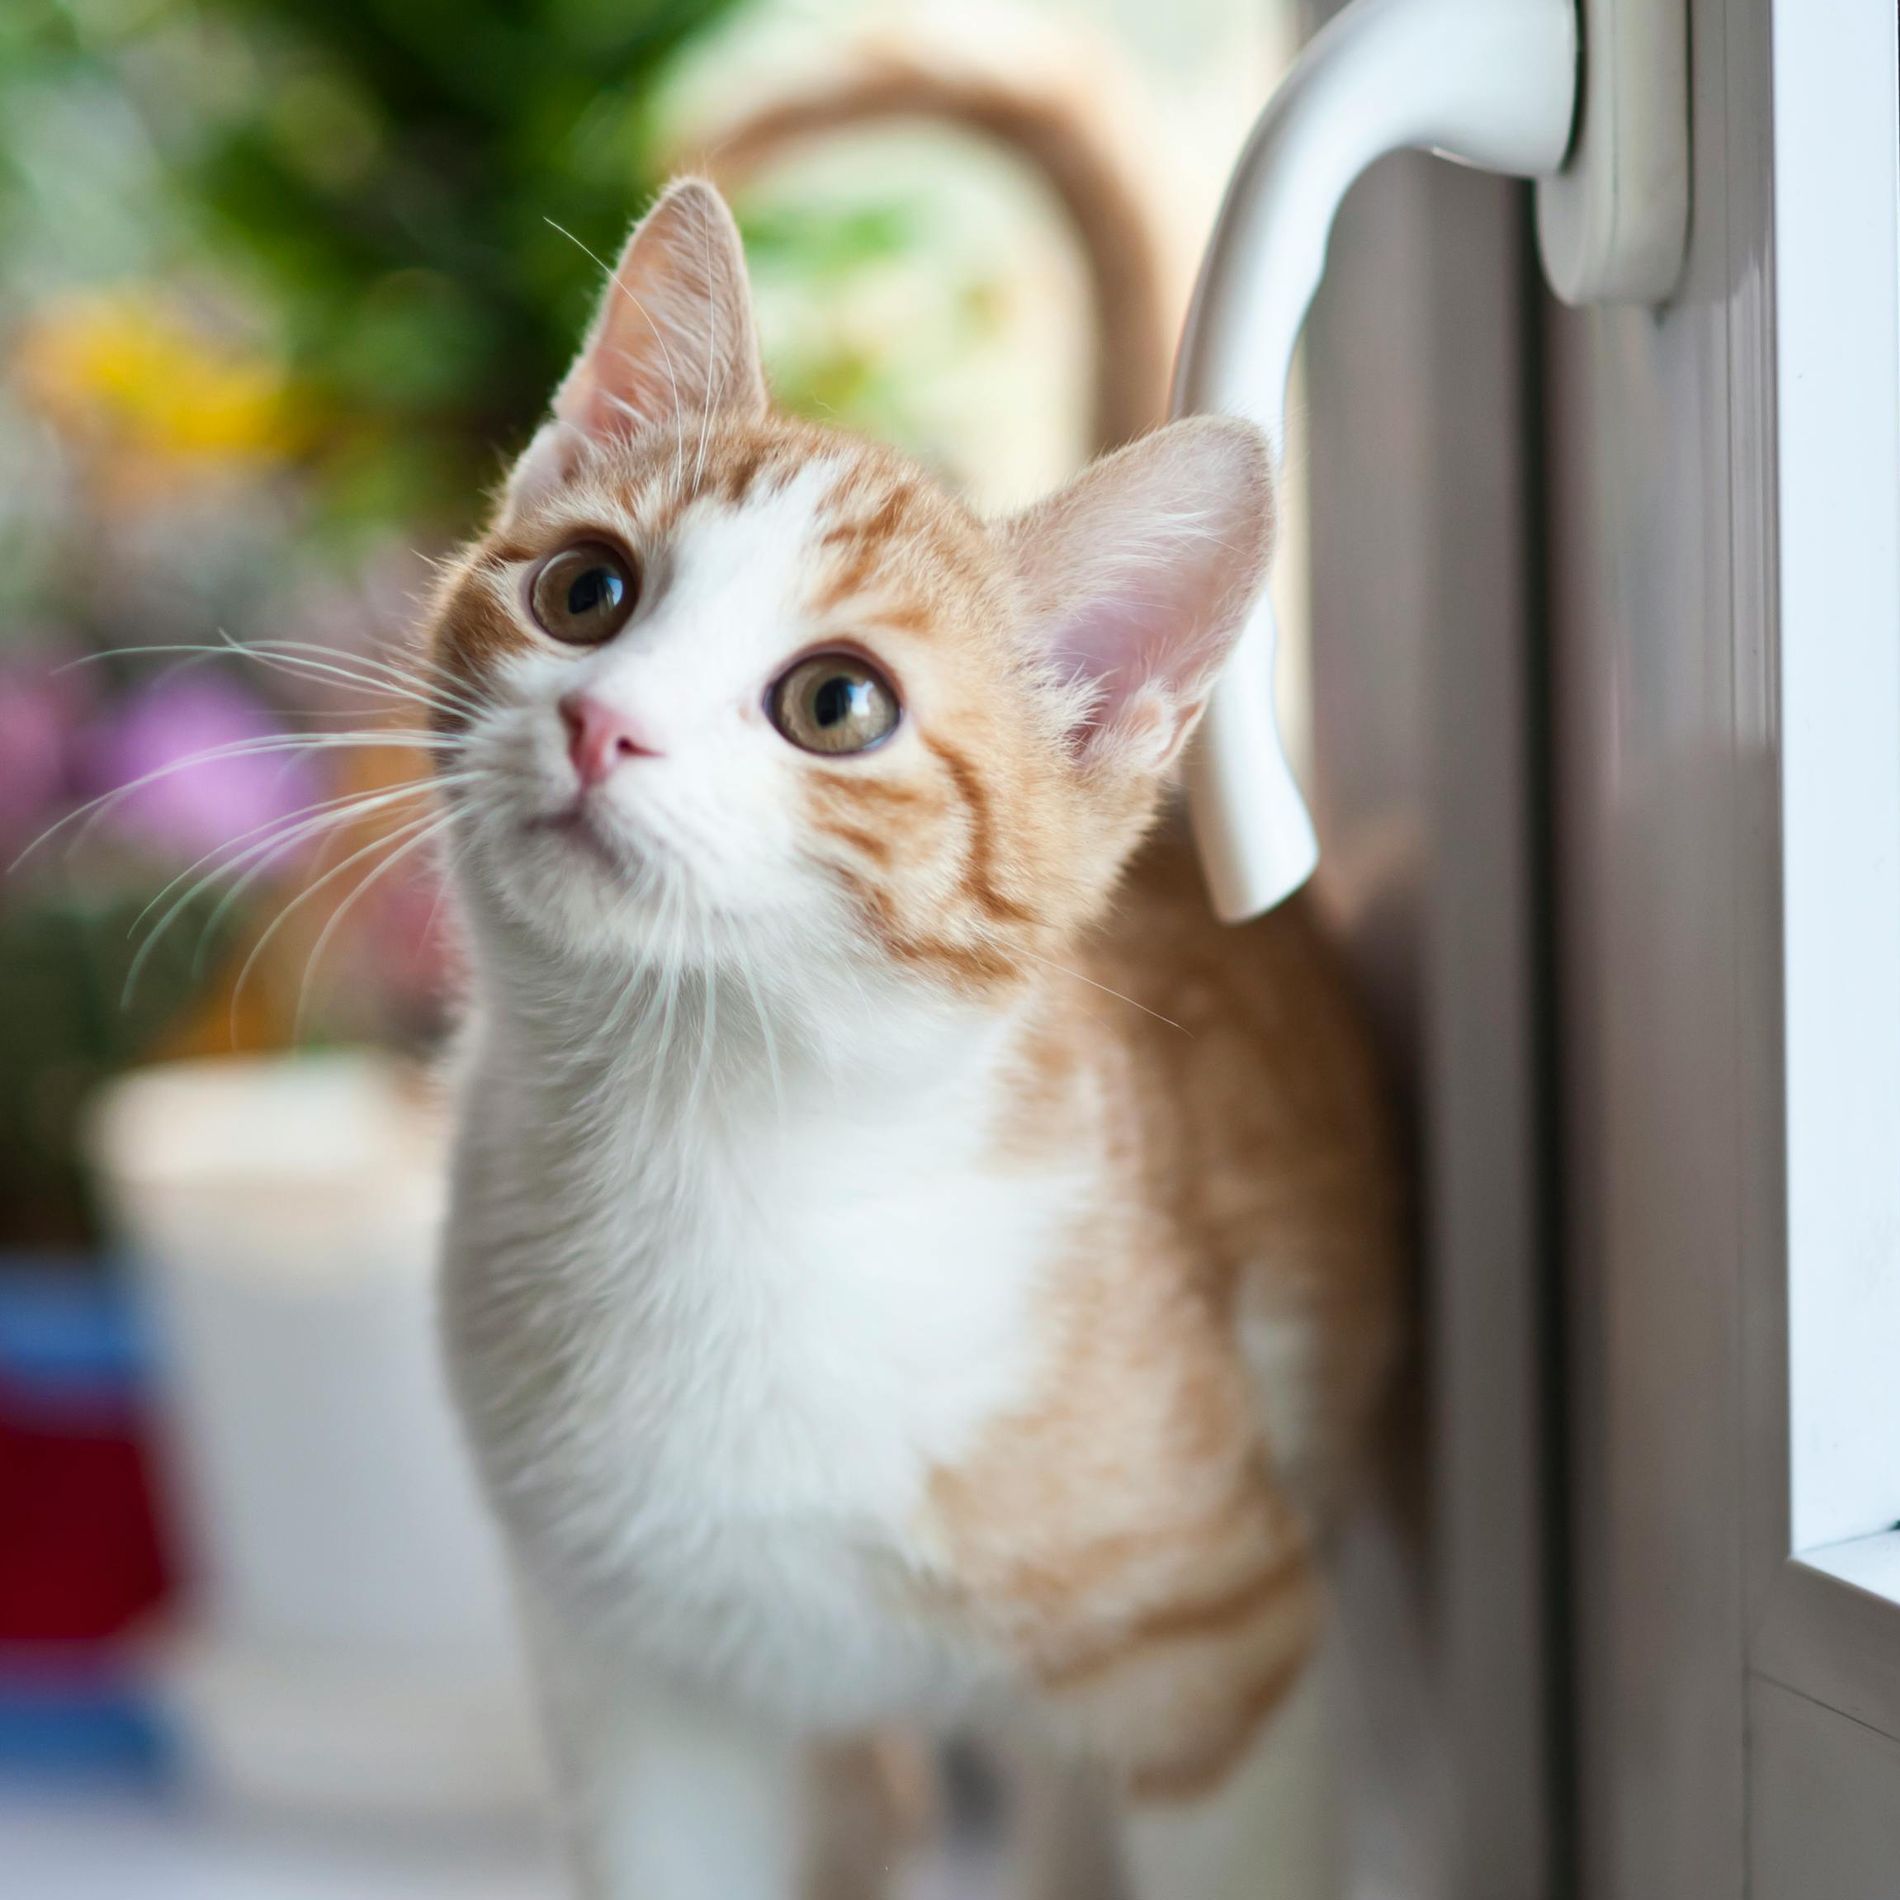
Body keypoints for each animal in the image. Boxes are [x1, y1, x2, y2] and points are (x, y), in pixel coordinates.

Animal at [427, 178, 1398, 1900]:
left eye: (837, 704)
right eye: (585, 591)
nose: (601, 723)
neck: (708, 1150)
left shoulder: (1224, 1655)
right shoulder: (637, 1685)